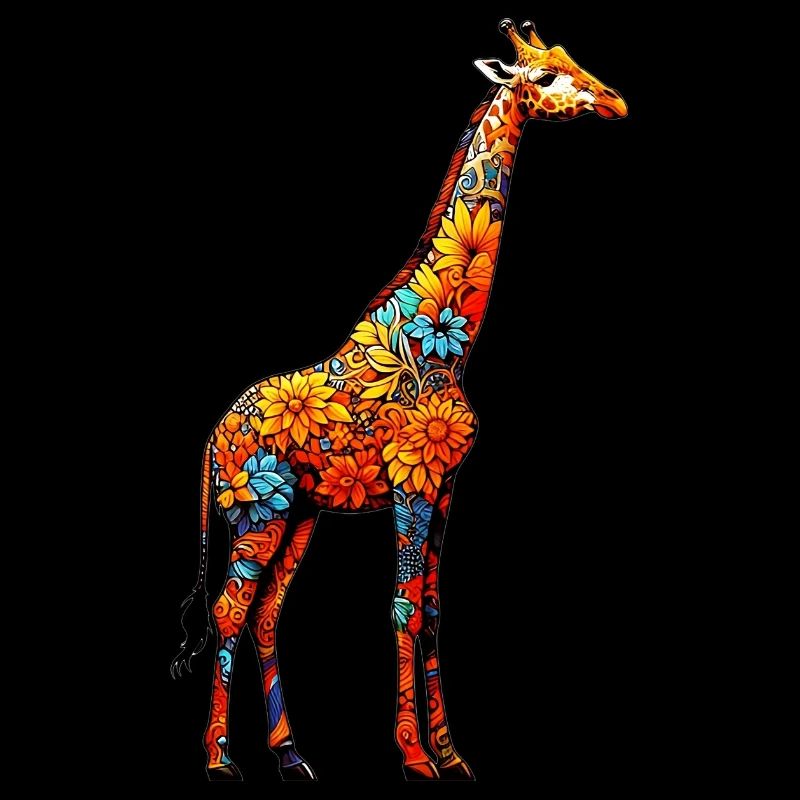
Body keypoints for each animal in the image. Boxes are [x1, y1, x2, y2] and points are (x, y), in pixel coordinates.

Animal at [171, 17, 627, 782]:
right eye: (544, 78)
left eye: (571, 60)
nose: (616, 102)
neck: (443, 337)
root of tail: (212, 436)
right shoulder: (412, 484)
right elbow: (403, 609)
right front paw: (415, 757)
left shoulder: (446, 487)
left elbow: (435, 610)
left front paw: (453, 754)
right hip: (255, 511)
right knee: (232, 611)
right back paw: (220, 760)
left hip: (300, 514)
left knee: (266, 613)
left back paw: (292, 756)